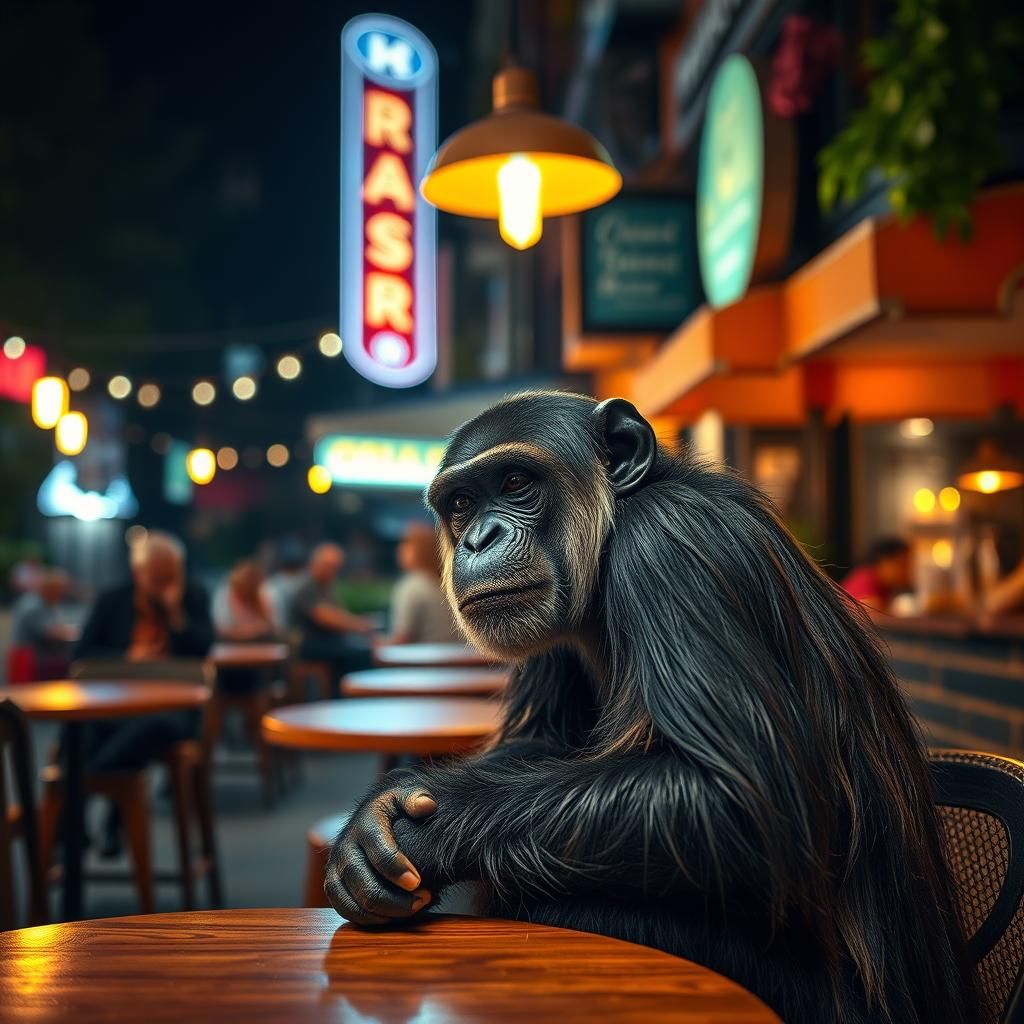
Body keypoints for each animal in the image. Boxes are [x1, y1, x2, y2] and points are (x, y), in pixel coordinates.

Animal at [325, 390, 977, 1024]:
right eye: (461, 502)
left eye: (514, 482)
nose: (478, 537)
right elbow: (536, 744)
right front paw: (385, 808)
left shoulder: (670, 547)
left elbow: (734, 795)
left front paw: (416, 833)